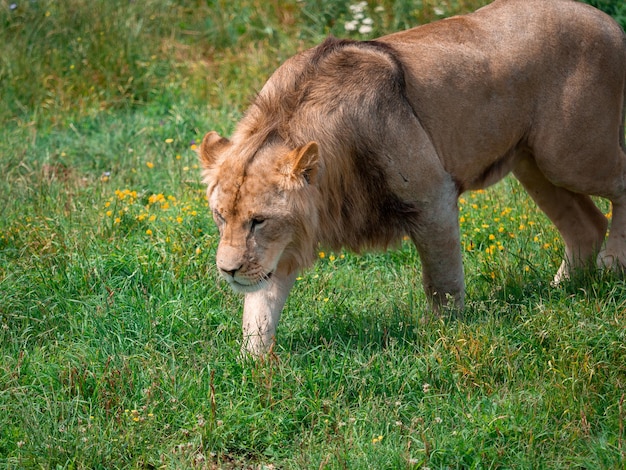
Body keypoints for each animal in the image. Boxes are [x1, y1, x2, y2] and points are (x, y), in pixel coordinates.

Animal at [201, 0, 624, 354]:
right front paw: (253, 367)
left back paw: (612, 263)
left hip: (568, 153)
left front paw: (444, 333)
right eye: (221, 217)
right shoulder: (283, 246)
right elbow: (261, 306)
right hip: (532, 163)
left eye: (259, 221)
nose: (227, 271)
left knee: (618, 187)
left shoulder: (433, 196)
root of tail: (607, 20)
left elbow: (442, 280)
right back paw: (560, 293)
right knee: (586, 225)